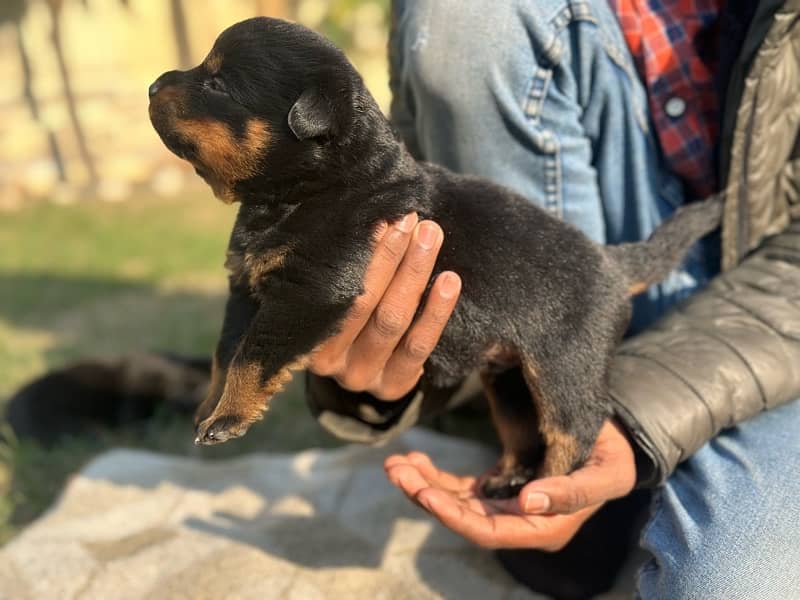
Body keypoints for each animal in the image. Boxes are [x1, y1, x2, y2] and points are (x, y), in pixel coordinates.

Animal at [147, 17, 720, 496]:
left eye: (217, 84)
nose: (152, 86)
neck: (305, 190)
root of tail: (612, 262)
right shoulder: (246, 287)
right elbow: (226, 351)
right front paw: (209, 408)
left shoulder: (309, 292)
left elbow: (253, 353)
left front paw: (228, 418)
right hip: (507, 374)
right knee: (522, 428)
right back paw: (509, 481)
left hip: (565, 361)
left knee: (572, 427)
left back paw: (545, 491)